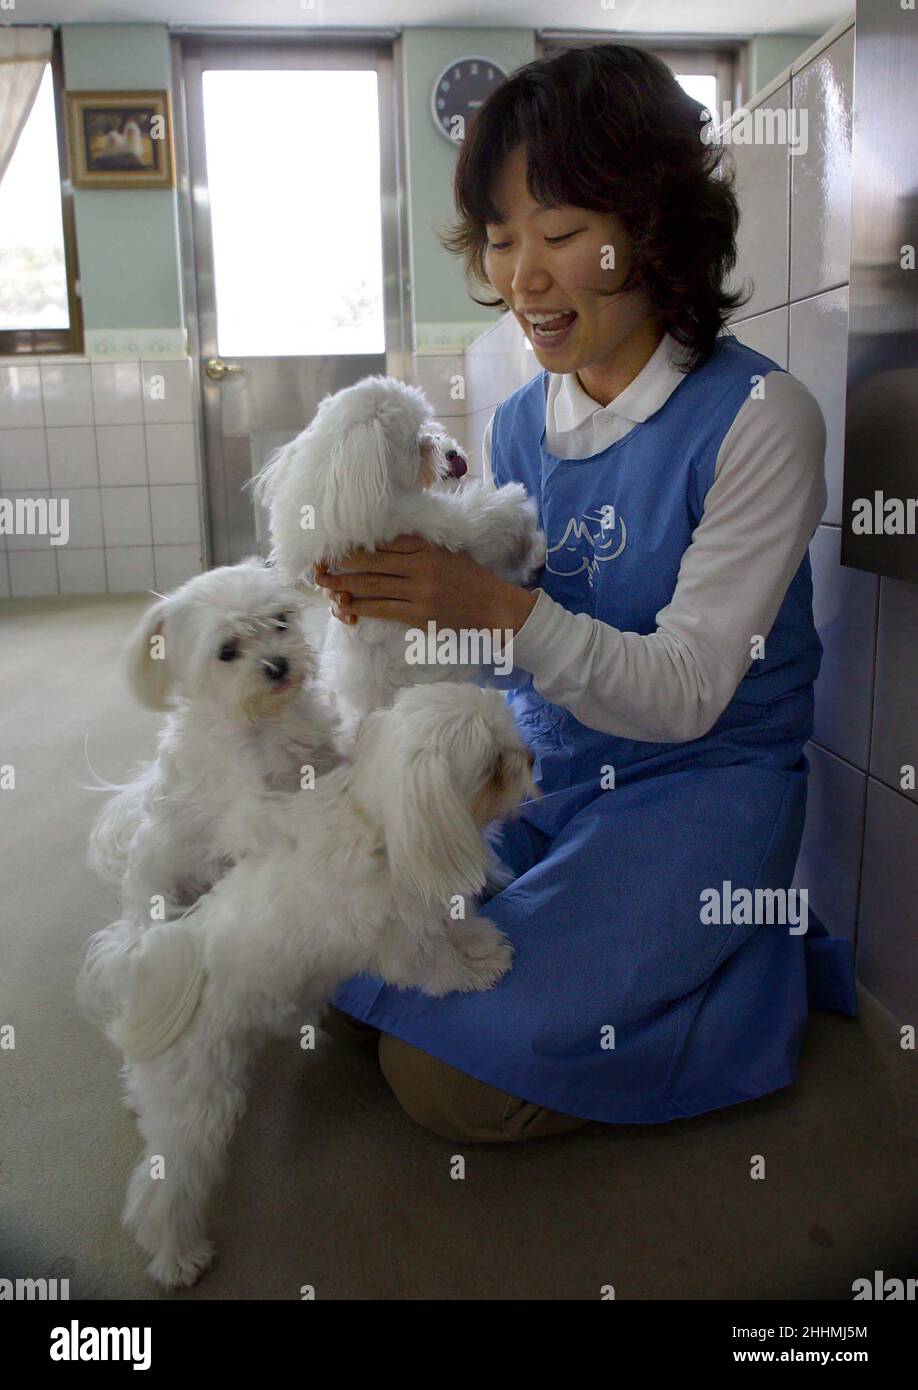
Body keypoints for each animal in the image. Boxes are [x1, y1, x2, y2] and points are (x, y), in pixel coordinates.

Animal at [80, 558, 339, 1028]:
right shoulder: (249, 810)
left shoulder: (316, 750)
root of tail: (135, 926)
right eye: (227, 651)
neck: (262, 721)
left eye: (281, 620)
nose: (277, 665)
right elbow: (287, 810)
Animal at [84, 683, 536, 1289]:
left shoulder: (428, 898)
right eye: (493, 767)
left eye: (512, 735)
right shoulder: (400, 945)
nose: (530, 757)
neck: (387, 829)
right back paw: (178, 1258)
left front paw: (482, 942)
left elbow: (454, 923)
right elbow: (436, 967)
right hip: (202, 1104)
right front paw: (475, 971)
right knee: (162, 1192)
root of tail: (147, 973)